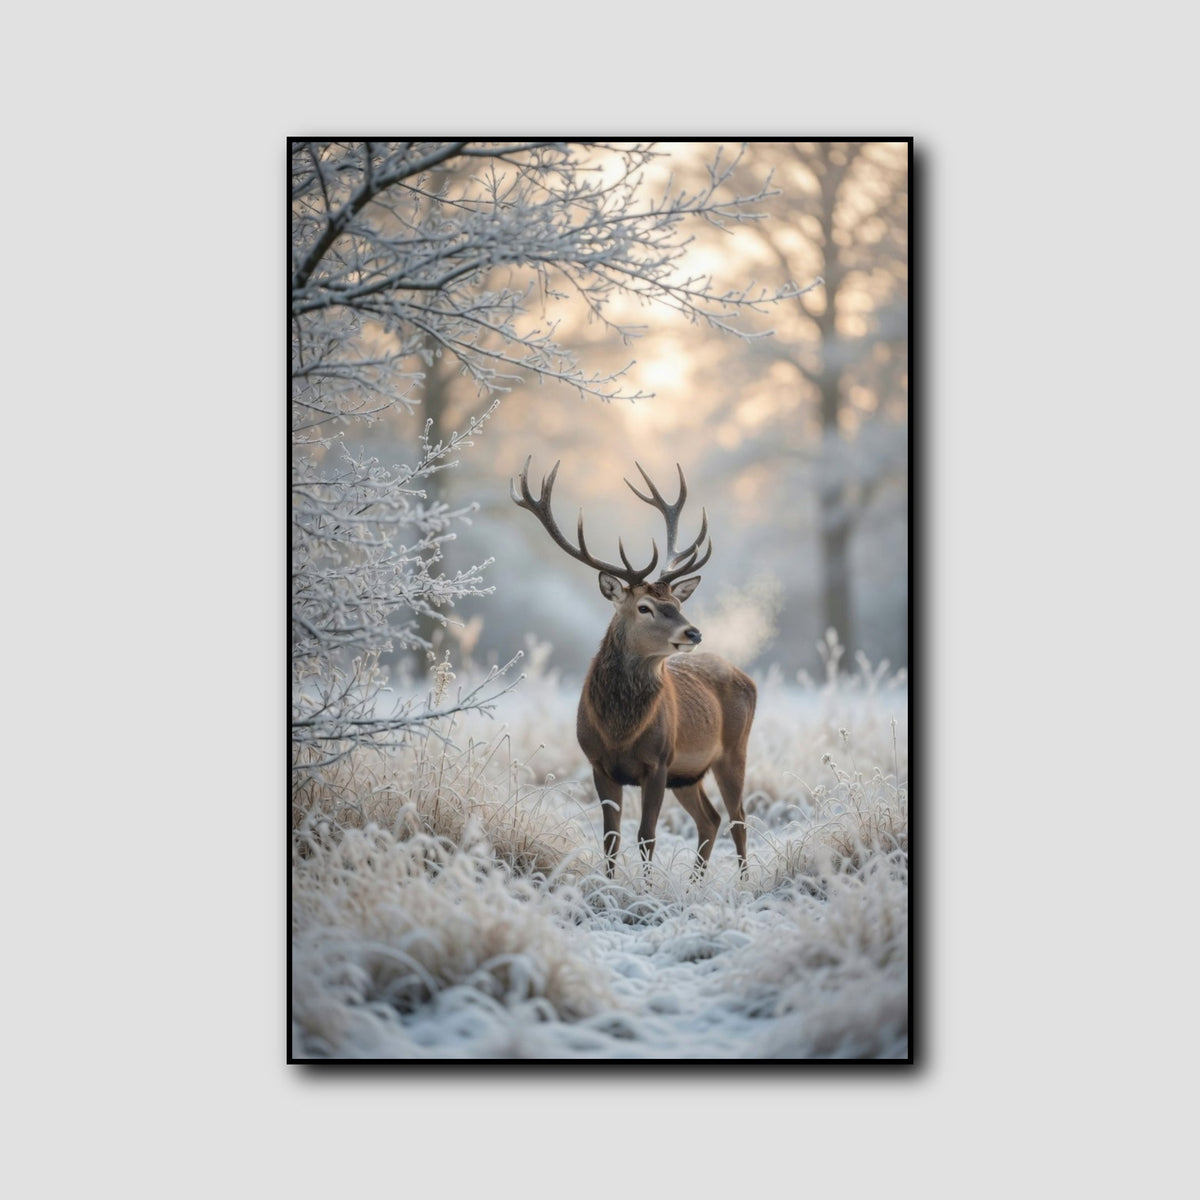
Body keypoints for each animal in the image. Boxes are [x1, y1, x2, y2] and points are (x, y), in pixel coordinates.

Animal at [511, 458, 757, 881]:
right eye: (645, 607)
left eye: (677, 602)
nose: (693, 632)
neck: (619, 731)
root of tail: (747, 679)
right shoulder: (598, 763)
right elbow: (611, 837)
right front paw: (610, 886)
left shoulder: (657, 761)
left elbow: (647, 835)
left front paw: (643, 888)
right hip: (688, 774)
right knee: (710, 819)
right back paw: (695, 883)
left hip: (733, 750)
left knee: (738, 818)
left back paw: (742, 883)